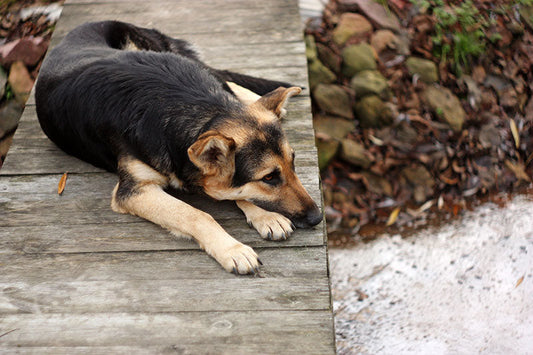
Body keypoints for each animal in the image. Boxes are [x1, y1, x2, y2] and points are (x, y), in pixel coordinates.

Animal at [37, 20, 322, 276]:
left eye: (293, 164)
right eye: (269, 178)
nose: (318, 218)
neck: (202, 110)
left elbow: (232, 192)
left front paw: (265, 215)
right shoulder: (134, 191)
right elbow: (195, 214)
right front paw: (232, 248)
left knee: (223, 77)